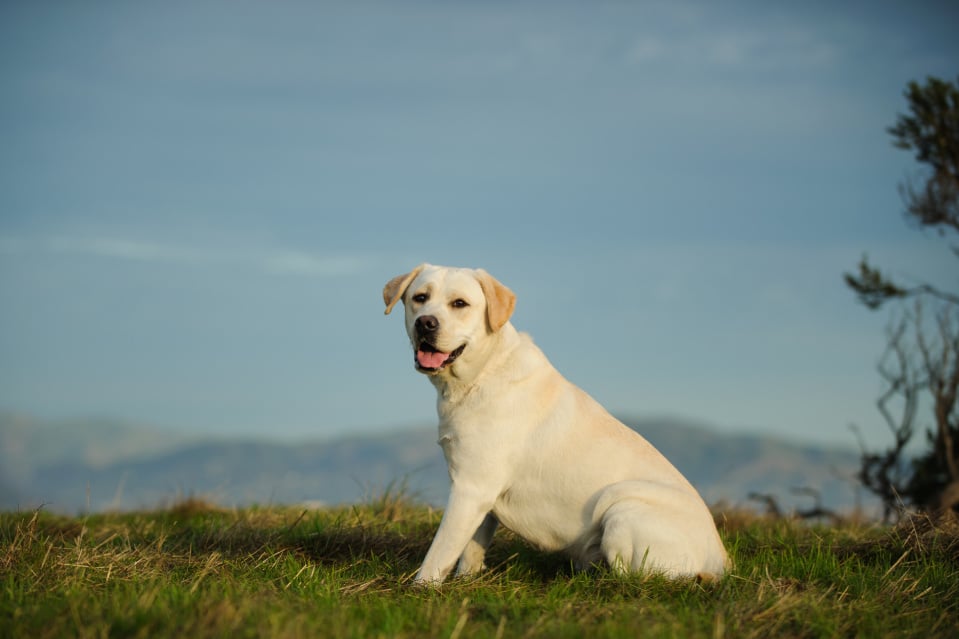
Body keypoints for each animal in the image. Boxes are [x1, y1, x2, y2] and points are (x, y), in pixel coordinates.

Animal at [382, 264, 728, 584]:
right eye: (420, 298)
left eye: (459, 304)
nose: (425, 323)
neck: (483, 372)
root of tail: (722, 561)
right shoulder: (478, 493)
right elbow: (471, 546)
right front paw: (468, 581)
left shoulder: (470, 488)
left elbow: (441, 550)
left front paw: (421, 589)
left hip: (620, 505)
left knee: (633, 577)